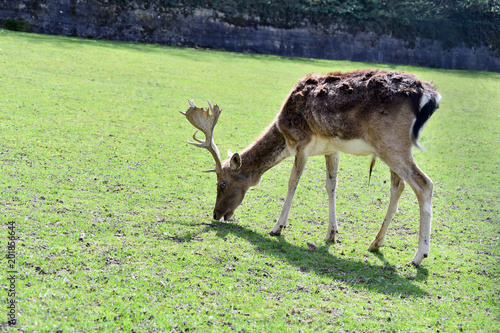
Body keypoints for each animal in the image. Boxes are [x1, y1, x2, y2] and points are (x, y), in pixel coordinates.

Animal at [181, 68, 442, 266]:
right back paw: (376, 243)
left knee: (424, 184)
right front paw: (332, 234)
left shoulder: (301, 143)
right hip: (389, 149)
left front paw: (277, 227)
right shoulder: (331, 148)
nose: (216, 214)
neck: (284, 130)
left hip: (392, 143)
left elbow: (292, 183)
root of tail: (430, 95)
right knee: (398, 188)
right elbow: (331, 186)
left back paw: (419, 256)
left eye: (222, 184)